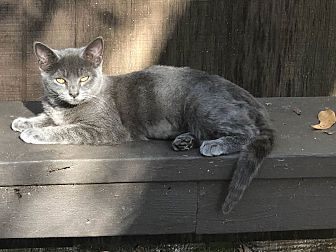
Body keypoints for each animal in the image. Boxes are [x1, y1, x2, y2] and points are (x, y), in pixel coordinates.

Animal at [11, 37, 272, 214]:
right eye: (60, 80)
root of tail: (242, 92)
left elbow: (66, 129)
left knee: (248, 131)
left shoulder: (106, 128)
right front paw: (24, 121)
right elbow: (49, 117)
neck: (67, 106)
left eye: (84, 78)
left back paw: (214, 144)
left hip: (202, 107)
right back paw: (184, 140)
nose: (74, 93)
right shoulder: (57, 111)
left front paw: (33, 132)